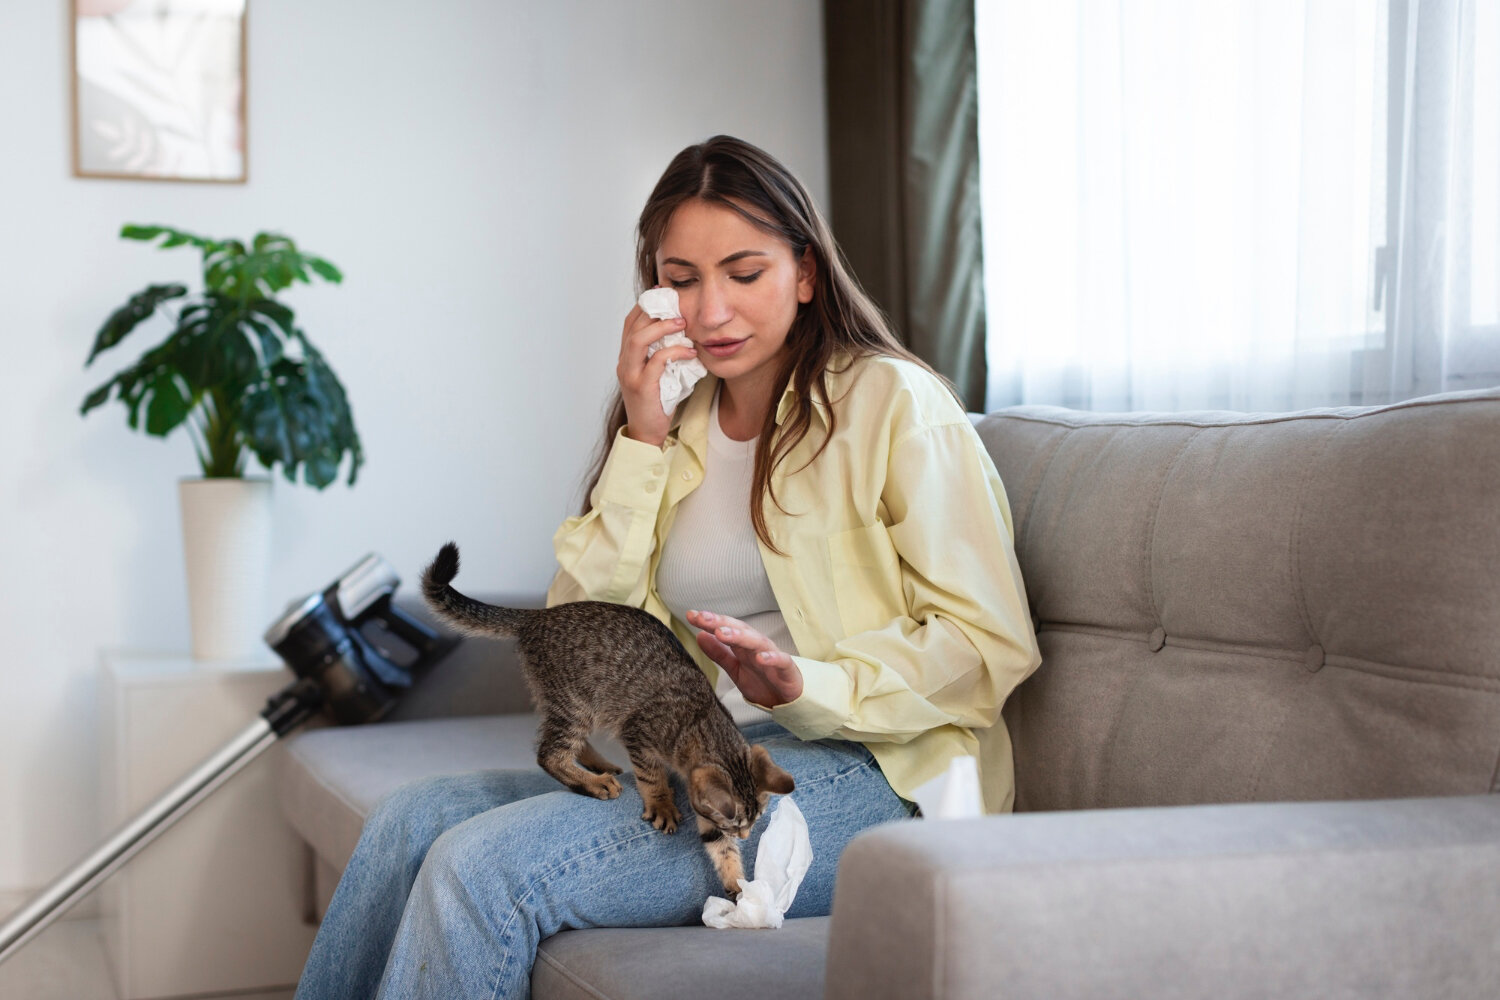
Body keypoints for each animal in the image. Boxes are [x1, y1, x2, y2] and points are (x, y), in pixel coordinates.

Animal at [423, 542, 798, 893]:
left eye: (753, 821)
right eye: (738, 824)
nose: (746, 836)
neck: (700, 721)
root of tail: (538, 616)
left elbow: (719, 848)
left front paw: (738, 885)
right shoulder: (639, 733)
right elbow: (651, 775)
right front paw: (661, 802)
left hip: (568, 702)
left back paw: (598, 764)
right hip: (575, 702)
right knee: (549, 753)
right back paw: (593, 781)